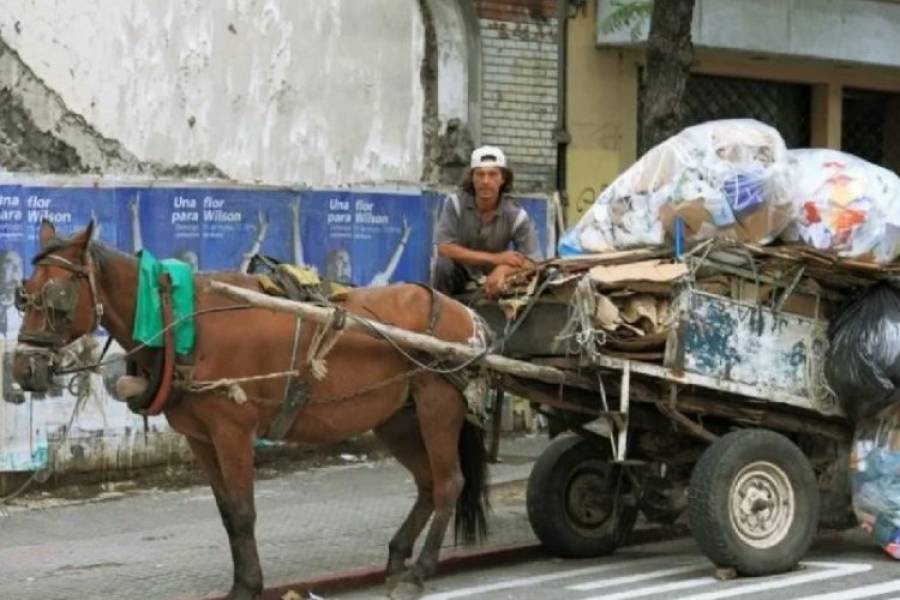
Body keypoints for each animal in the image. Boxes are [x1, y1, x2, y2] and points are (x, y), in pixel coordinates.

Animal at [10, 221, 488, 600]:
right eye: (24, 295)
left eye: (58, 295)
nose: (23, 368)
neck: (179, 318)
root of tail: (466, 314)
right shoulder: (200, 438)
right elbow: (226, 514)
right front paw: (242, 581)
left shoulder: (232, 430)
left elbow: (243, 512)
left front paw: (249, 586)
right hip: (397, 418)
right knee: (428, 483)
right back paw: (397, 558)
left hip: (437, 404)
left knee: (449, 483)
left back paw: (419, 571)